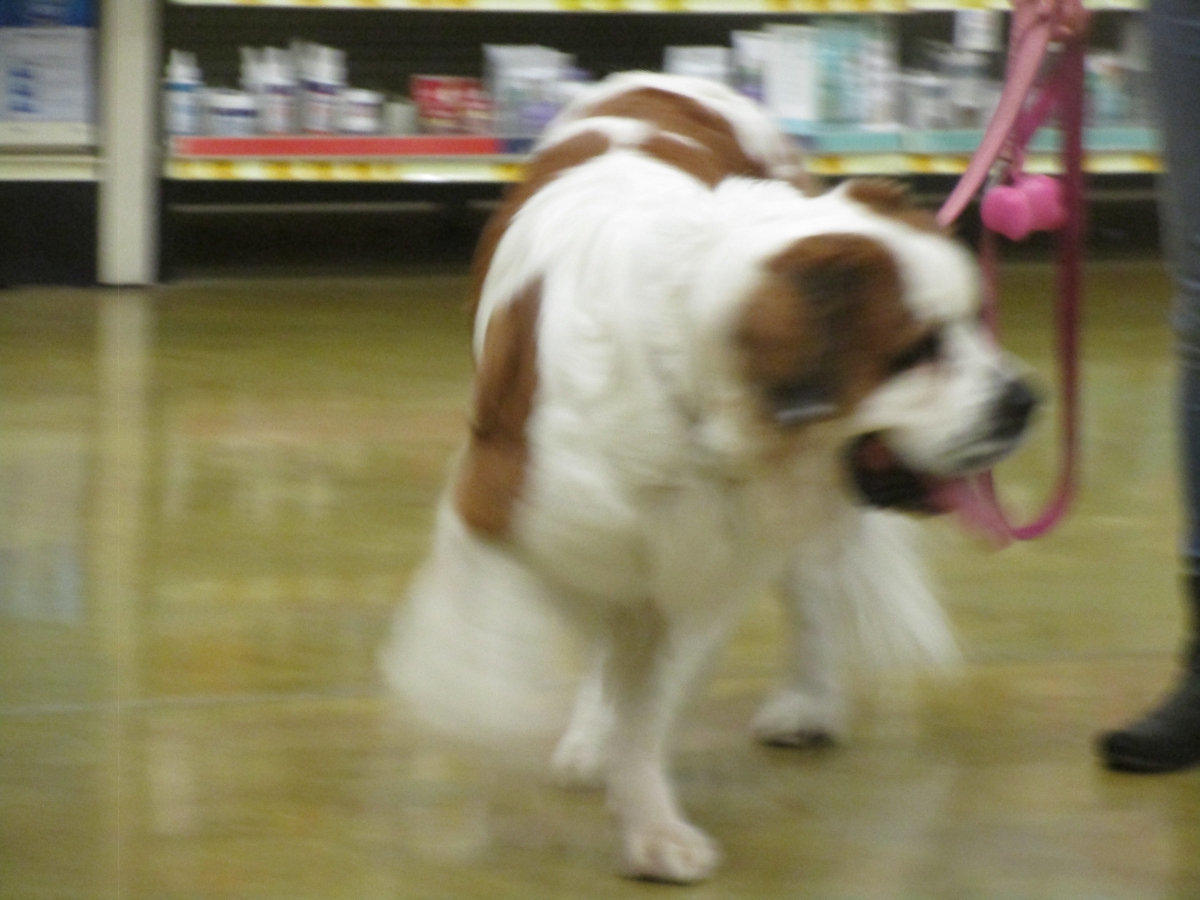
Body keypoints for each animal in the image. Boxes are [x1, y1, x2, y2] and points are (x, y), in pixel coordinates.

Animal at [382, 72, 1036, 883]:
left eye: (975, 322)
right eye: (917, 352)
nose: (1022, 400)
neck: (687, 367)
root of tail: (665, 79)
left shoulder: (706, 564)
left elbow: (647, 704)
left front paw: (651, 825)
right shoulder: (500, 505)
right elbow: (486, 652)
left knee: (808, 593)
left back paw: (805, 702)